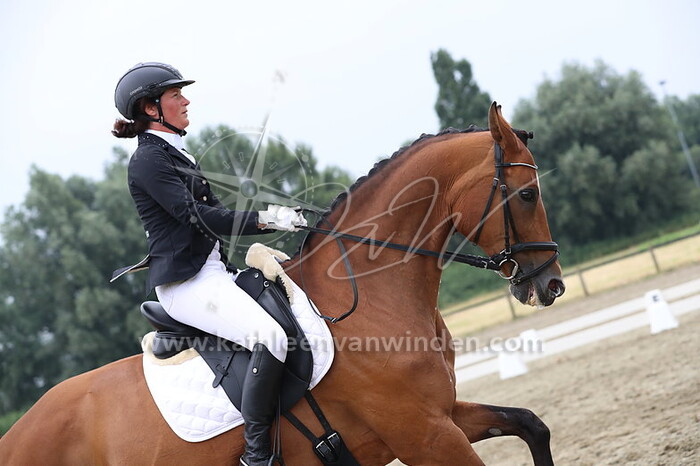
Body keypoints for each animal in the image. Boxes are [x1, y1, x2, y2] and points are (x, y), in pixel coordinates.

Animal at [0, 103, 564, 465]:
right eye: (527, 194)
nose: (551, 285)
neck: (368, 299)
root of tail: (17, 434)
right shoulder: (425, 435)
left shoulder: (442, 416)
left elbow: (530, 422)